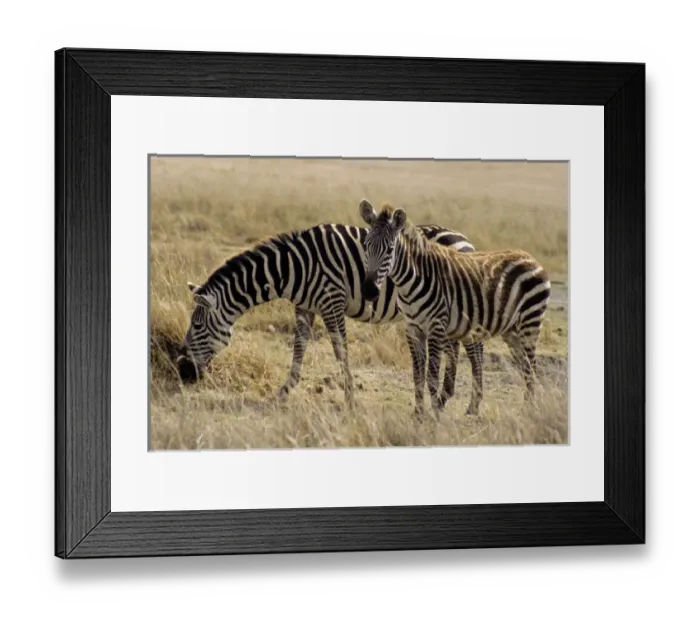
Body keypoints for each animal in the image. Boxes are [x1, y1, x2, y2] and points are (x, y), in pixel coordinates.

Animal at [176, 222, 484, 409]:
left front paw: (350, 399)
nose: (183, 371)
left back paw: (473, 405)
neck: (294, 267)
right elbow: (299, 348)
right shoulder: (305, 307)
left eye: (198, 326)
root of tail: (464, 238)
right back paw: (446, 396)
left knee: (474, 348)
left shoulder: (332, 302)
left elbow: (340, 351)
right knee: (457, 347)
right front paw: (284, 392)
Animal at [359, 199, 551, 418]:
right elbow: (417, 375)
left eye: (390, 250)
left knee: (532, 365)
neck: (410, 282)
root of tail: (530, 257)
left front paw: (434, 415)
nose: (369, 290)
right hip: (511, 331)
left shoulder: (435, 327)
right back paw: (525, 407)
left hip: (530, 322)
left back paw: (531, 409)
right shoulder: (413, 329)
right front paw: (418, 413)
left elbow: (432, 376)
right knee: (525, 364)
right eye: (366, 246)